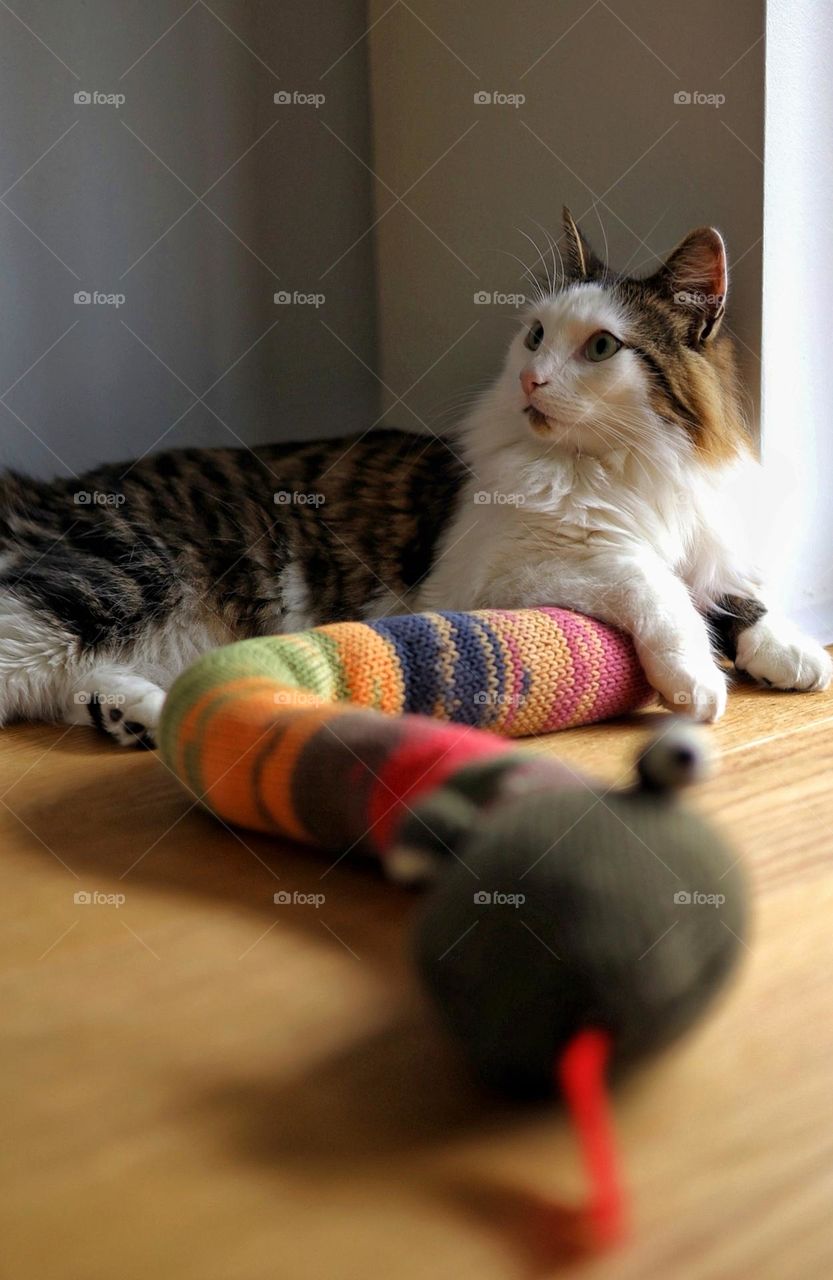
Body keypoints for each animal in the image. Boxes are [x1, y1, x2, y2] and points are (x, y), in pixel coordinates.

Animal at [0, 208, 829, 747]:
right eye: (534, 336)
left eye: (600, 347)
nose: (529, 380)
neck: (623, 467)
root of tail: (42, 491)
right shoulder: (513, 568)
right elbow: (650, 583)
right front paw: (695, 679)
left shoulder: (704, 541)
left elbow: (734, 594)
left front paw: (792, 651)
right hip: (115, 582)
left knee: (68, 685)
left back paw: (136, 716)